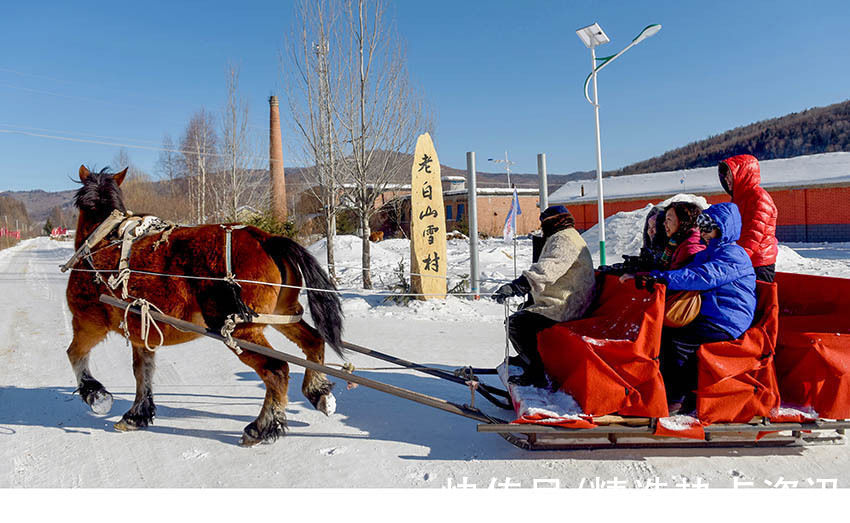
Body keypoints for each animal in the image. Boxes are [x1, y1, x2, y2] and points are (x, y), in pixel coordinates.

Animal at [66, 167, 342, 446]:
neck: (102, 242)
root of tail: (268, 239)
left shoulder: (88, 323)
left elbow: (75, 354)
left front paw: (96, 395)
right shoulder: (142, 329)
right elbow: (142, 371)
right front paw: (137, 415)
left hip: (240, 330)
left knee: (276, 370)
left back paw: (261, 427)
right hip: (283, 314)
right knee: (313, 341)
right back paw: (318, 393)